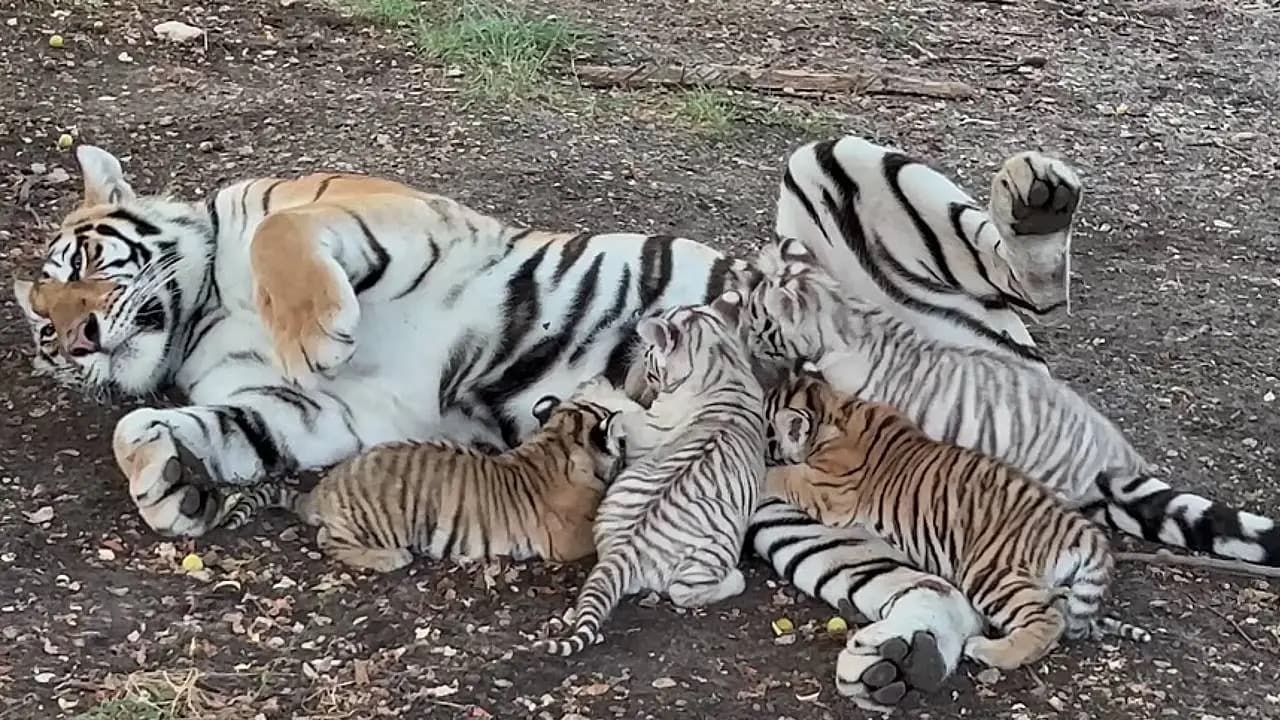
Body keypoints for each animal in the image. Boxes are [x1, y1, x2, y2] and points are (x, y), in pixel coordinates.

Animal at [217, 379, 632, 568]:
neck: (556, 440)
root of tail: (322, 488)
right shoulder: (568, 539)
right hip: (379, 519)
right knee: (327, 540)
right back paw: (390, 558)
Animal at [757, 371, 1152, 671]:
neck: (835, 408)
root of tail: (1084, 531)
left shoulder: (829, 493)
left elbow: (786, 476)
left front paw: (764, 473)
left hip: (990, 573)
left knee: (1046, 621)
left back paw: (987, 651)